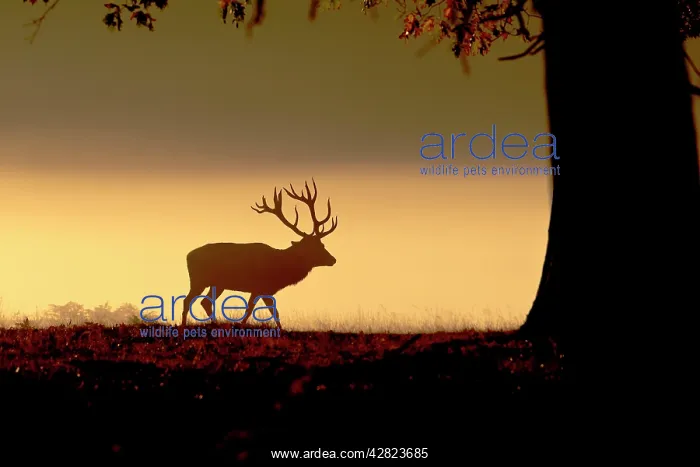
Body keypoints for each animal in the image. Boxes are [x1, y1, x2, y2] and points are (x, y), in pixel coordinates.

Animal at [181, 179, 338, 329]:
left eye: (322, 244)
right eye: (315, 247)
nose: (333, 259)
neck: (280, 268)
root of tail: (188, 255)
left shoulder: (265, 290)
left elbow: (273, 311)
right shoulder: (259, 287)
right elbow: (252, 309)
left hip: (217, 284)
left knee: (205, 302)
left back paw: (215, 323)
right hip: (198, 280)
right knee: (188, 300)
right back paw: (183, 326)